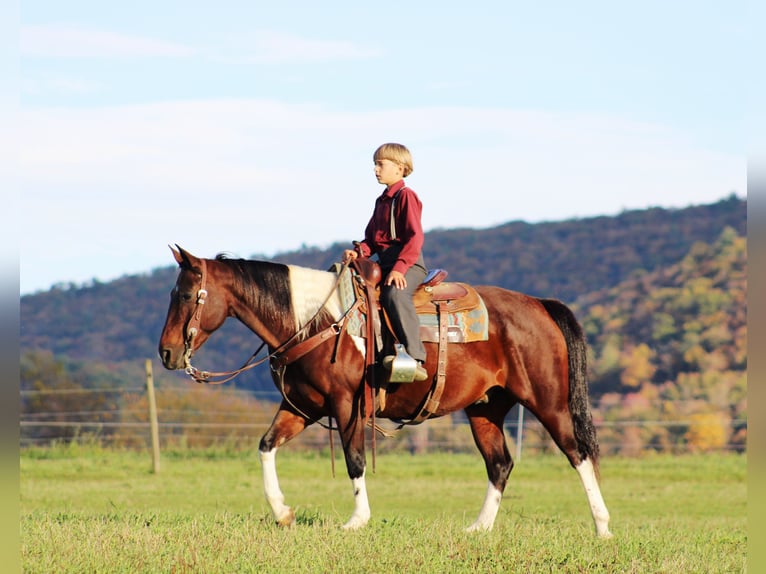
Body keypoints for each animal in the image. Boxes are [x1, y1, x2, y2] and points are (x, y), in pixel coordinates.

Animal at [158, 245, 612, 537]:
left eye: (186, 294)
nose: (166, 352)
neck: (316, 321)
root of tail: (539, 304)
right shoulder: (301, 407)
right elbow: (266, 446)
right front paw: (283, 513)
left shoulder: (347, 405)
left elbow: (355, 459)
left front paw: (357, 519)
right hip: (486, 409)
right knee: (500, 464)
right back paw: (479, 528)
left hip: (548, 402)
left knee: (578, 453)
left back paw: (602, 526)